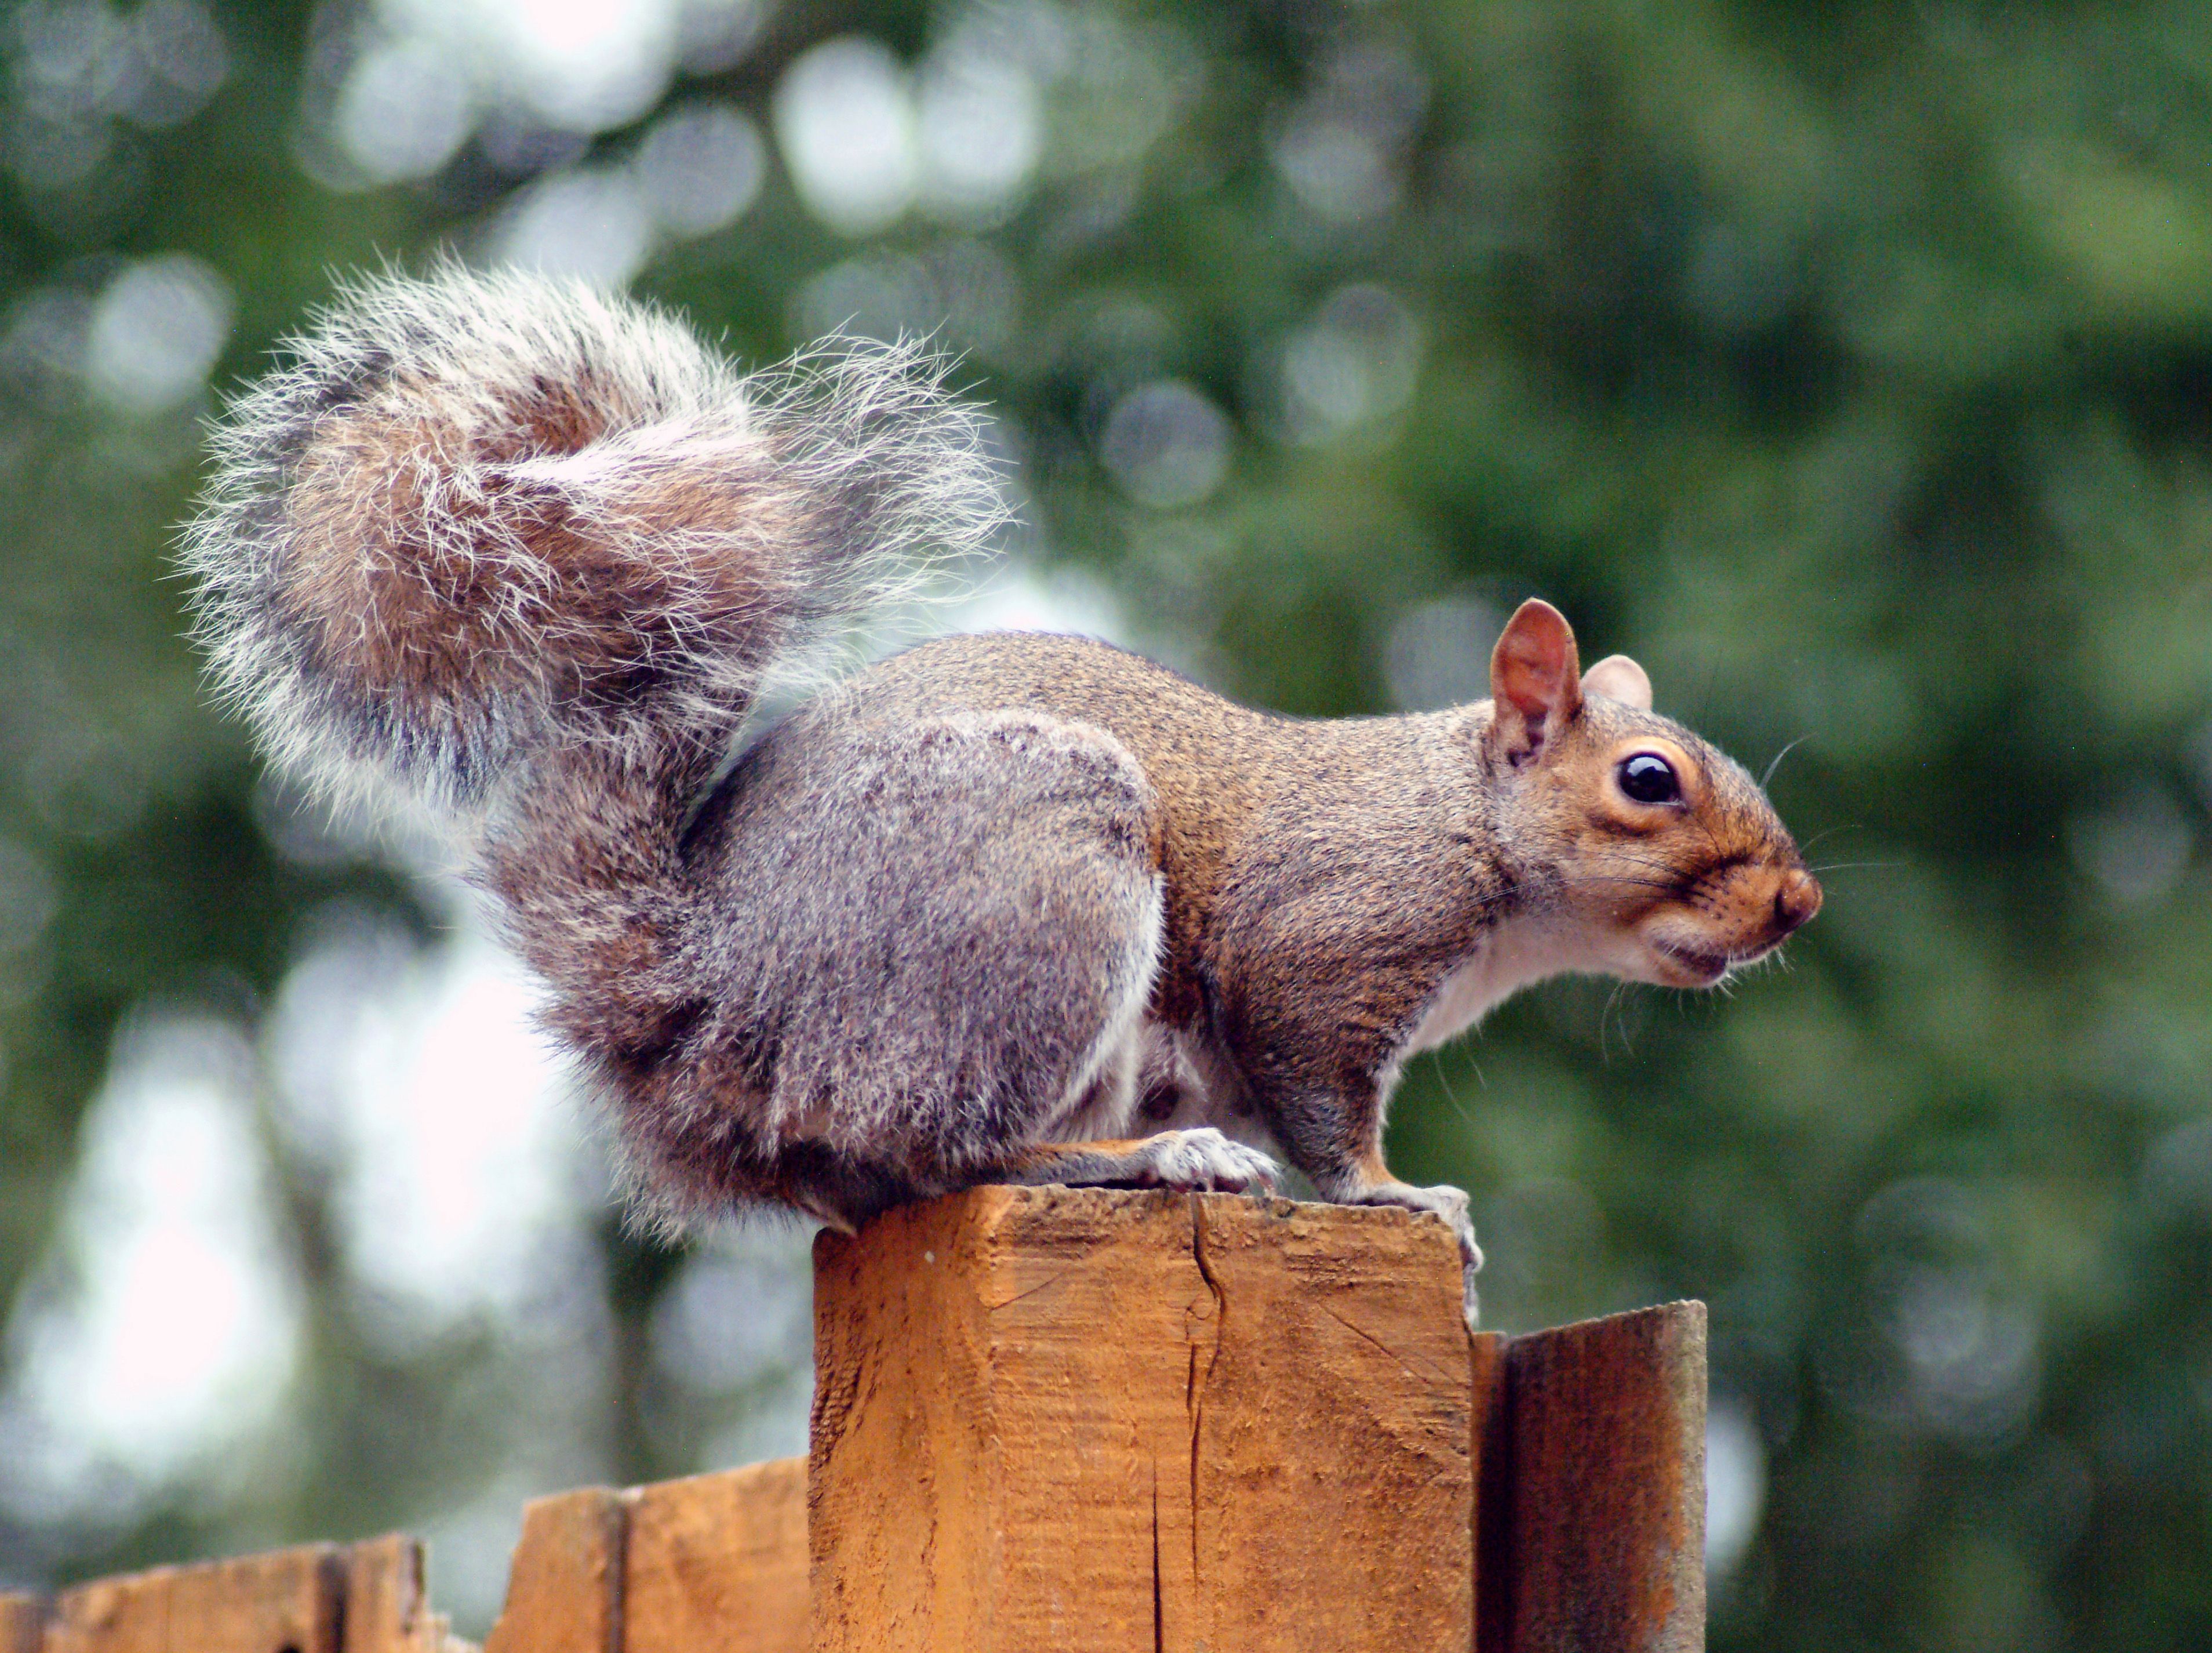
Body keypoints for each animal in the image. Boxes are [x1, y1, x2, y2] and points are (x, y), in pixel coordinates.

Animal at [181, 265, 1820, 1316]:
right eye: (1649, 778)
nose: (1799, 902)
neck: (1464, 828)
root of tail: (707, 991)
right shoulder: (1326, 944)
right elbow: (1320, 1105)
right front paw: (1398, 1198)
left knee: (881, 1183)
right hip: (1040, 887)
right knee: (946, 1150)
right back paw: (1153, 1158)